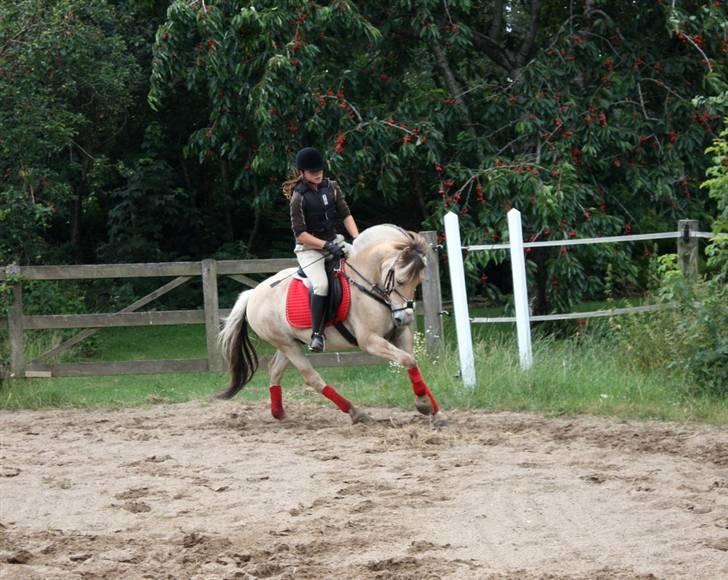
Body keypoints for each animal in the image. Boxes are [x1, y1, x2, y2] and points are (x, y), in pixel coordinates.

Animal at [216, 225, 444, 426]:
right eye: (400, 280)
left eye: (418, 282)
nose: (405, 318)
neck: (369, 284)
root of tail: (253, 293)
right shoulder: (370, 341)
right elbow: (407, 360)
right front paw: (424, 406)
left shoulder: (400, 335)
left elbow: (412, 362)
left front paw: (435, 411)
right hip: (287, 345)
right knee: (311, 378)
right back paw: (356, 413)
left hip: (290, 343)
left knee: (275, 370)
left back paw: (279, 413)